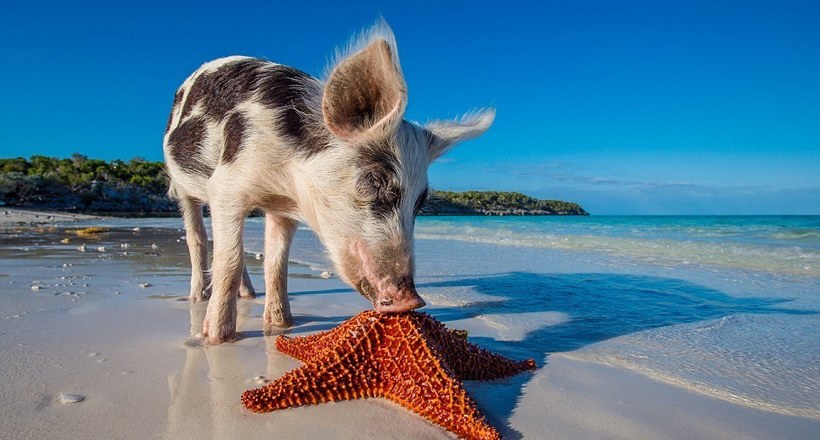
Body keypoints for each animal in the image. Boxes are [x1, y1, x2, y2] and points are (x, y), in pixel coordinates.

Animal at [161, 20, 494, 344]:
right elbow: (228, 261)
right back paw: (196, 298)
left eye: (421, 200)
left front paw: (283, 325)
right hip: (182, 186)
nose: (413, 300)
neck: (282, 179)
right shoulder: (226, 187)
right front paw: (217, 339)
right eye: (374, 180)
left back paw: (249, 295)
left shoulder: (281, 210)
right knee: (198, 238)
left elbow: (276, 263)